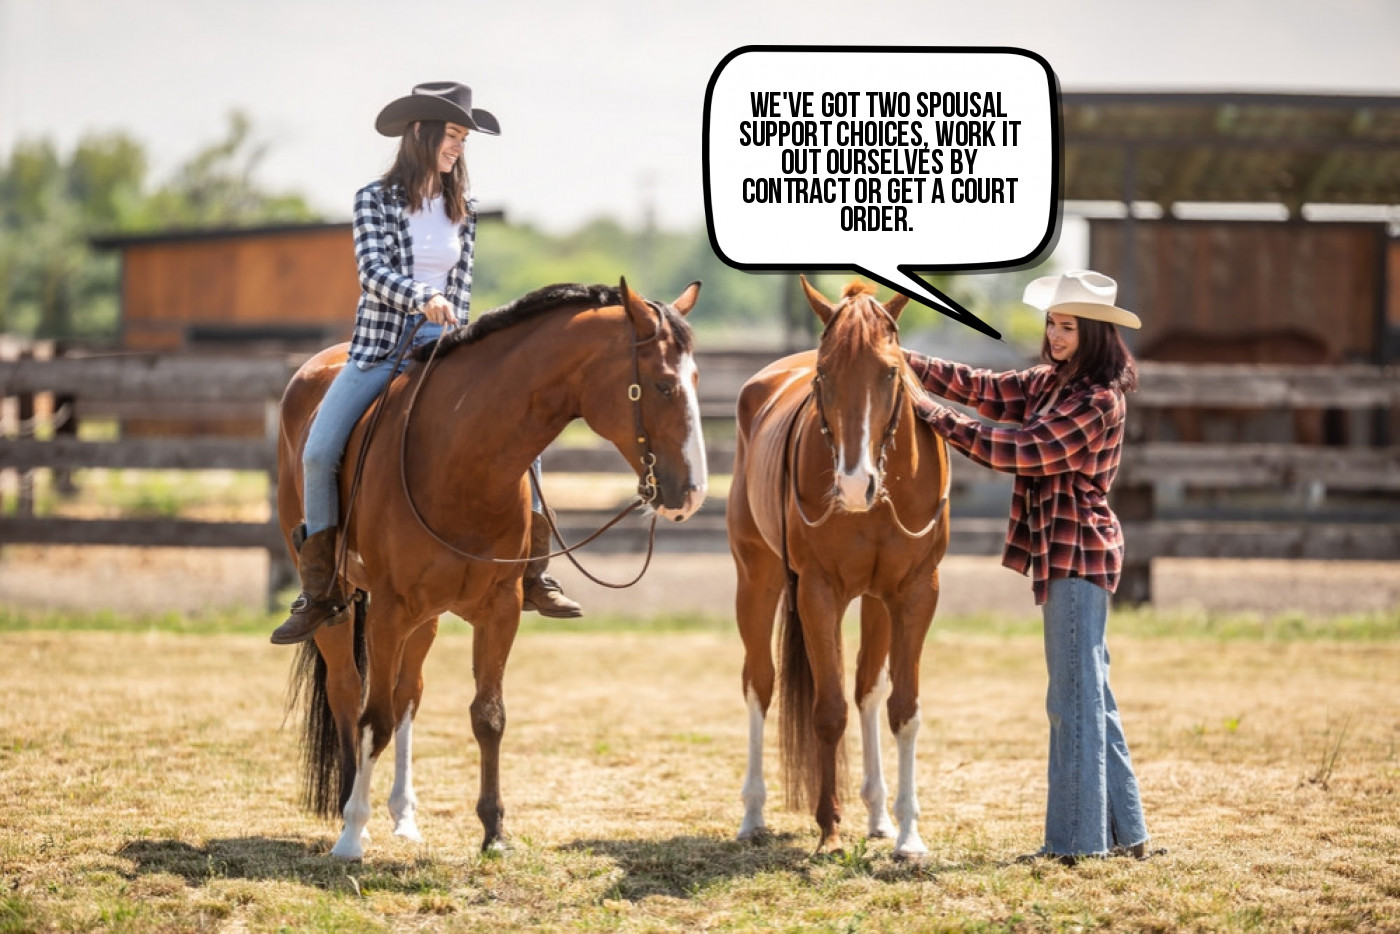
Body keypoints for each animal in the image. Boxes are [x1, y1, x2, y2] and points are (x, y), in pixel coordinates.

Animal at [280, 280, 705, 862]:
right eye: (662, 385)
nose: (691, 494)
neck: (459, 456)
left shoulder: (500, 608)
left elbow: (488, 715)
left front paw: (494, 833)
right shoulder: (388, 611)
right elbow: (374, 718)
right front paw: (350, 836)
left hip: (425, 619)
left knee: (408, 692)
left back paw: (404, 818)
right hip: (342, 605)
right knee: (349, 691)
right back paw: (354, 813)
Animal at [733, 280, 952, 862]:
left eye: (891, 372)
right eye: (824, 374)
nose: (855, 485)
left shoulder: (915, 593)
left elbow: (902, 707)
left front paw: (908, 834)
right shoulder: (818, 592)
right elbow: (828, 710)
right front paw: (829, 831)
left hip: (874, 600)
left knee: (868, 690)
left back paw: (877, 816)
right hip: (757, 579)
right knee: (759, 683)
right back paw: (753, 815)